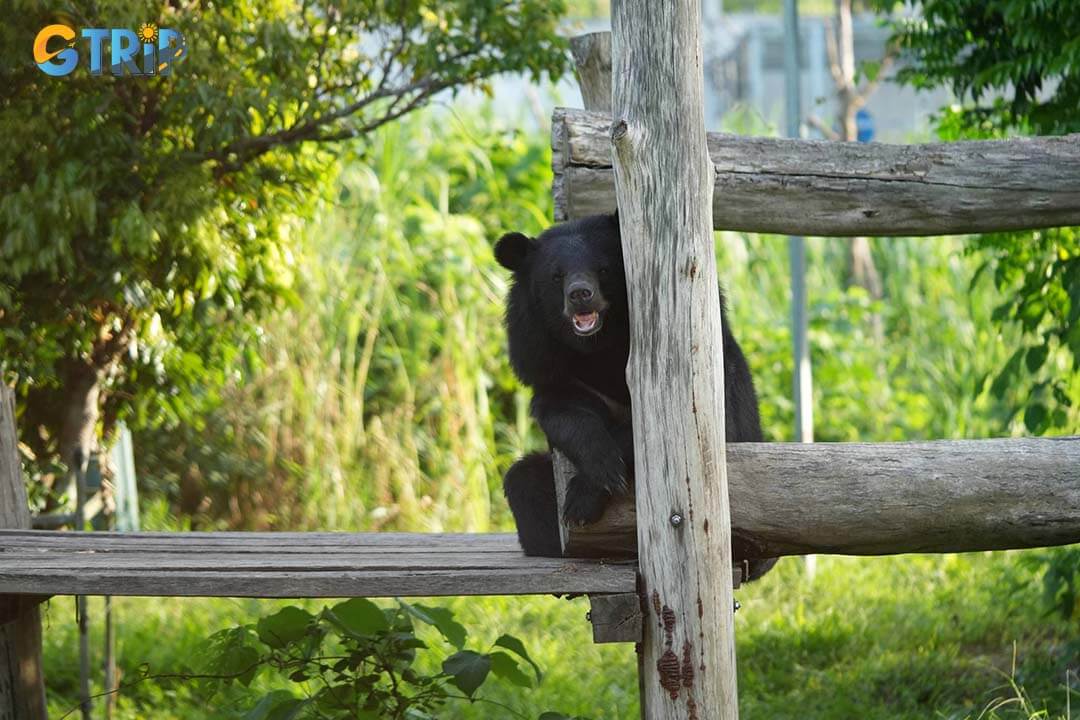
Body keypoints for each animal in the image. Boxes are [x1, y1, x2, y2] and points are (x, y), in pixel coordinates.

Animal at [496, 212, 777, 578]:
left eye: (602, 269)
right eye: (556, 276)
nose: (580, 294)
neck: (599, 347)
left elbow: (671, 430)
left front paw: (584, 495)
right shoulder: (542, 356)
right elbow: (560, 410)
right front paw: (599, 468)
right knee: (522, 483)